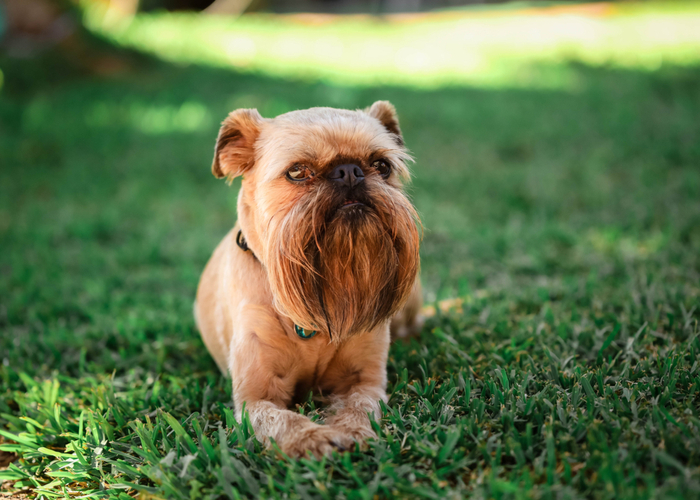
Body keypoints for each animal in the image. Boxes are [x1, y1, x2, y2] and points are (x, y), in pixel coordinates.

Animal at [194, 101, 422, 458]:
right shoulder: (254, 400)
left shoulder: (365, 382)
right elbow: (281, 419)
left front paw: (351, 430)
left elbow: (360, 406)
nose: (349, 171)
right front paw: (312, 438)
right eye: (298, 171)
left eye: (381, 166)